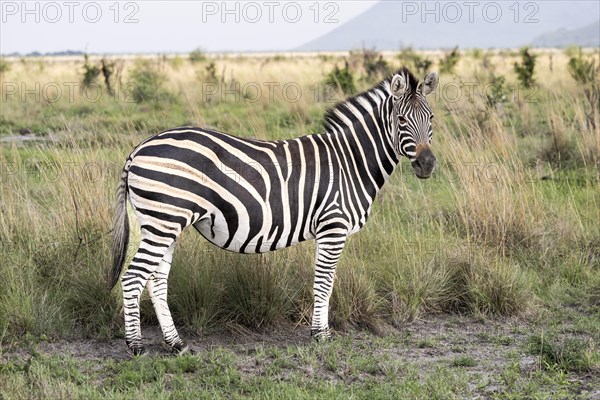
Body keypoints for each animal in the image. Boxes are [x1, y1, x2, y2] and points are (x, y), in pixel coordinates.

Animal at [109, 67, 436, 354]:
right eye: (402, 119)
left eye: (431, 118)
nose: (427, 164)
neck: (351, 161)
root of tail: (138, 149)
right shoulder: (333, 225)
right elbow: (324, 282)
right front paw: (321, 335)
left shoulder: (329, 229)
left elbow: (324, 281)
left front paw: (319, 331)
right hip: (163, 221)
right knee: (133, 277)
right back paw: (136, 346)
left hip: (165, 223)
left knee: (156, 281)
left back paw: (175, 344)